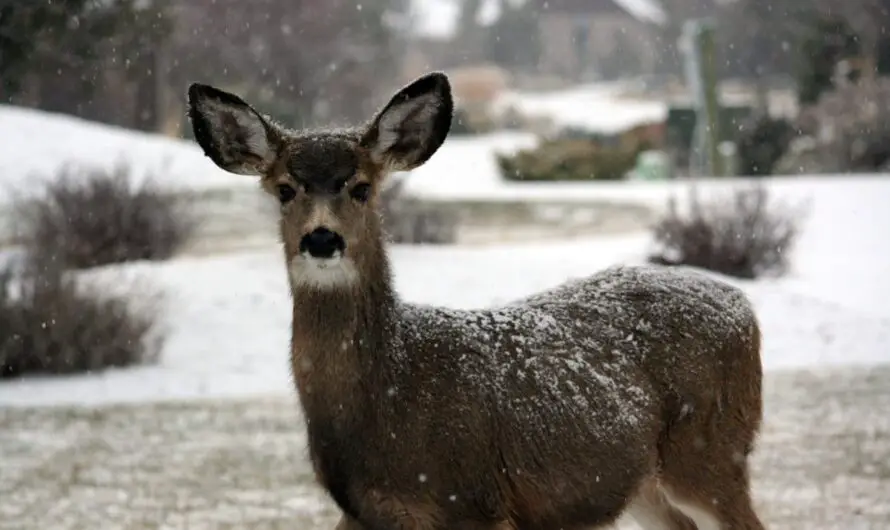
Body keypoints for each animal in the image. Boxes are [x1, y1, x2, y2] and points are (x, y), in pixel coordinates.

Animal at [186, 71, 764, 528]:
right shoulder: (363, 514)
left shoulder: (474, 502)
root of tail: (741, 305)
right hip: (638, 479)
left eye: (361, 188)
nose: (322, 239)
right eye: (285, 189)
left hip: (712, 447)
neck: (390, 391)